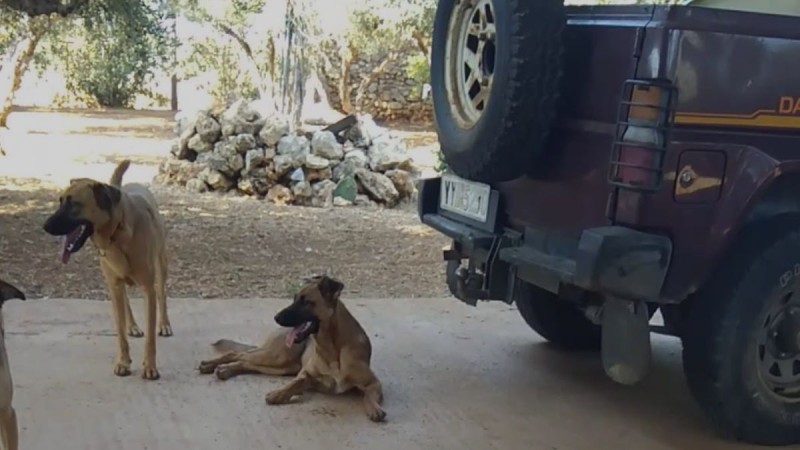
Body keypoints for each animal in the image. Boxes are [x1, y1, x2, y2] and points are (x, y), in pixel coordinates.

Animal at [41, 160, 172, 378]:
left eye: (74, 204)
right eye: (60, 201)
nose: (45, 226)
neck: (116, 235)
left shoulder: (148, 289)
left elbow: (150, 337)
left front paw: (150, 367)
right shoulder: (114, 285)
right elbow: (119, 330)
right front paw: (123, 362)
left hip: (161, 264)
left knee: (162, 293)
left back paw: (164, 325)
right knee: (125, 302)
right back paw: (133, 326)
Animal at [199, 274, 388, 422]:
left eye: (306, 302)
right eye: (294, 298)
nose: (276, 317)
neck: (333, 349)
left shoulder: (373, 383)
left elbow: (368, 396)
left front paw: (374, 408)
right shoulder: (306, 375)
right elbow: (294, 384)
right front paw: (278, 393)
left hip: (282, 366)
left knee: (246, 362)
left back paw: (224, 370)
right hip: (277, 357)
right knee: (237, 353)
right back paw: (212, 365)